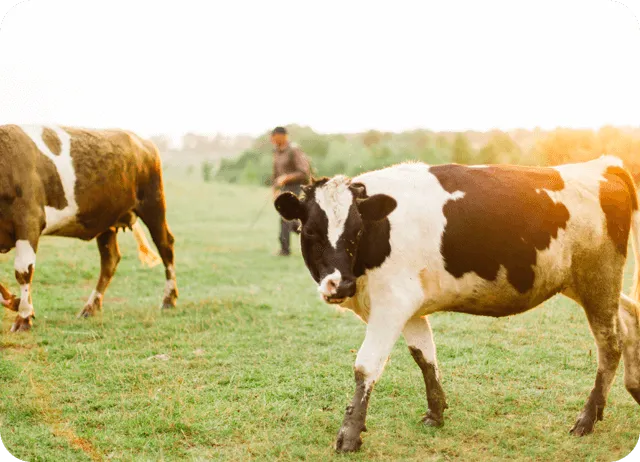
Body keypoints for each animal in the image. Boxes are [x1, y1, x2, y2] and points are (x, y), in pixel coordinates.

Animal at [0, 124, 179, 330]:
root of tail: (142, 141)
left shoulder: (29, 220)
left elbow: (23, 271)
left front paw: (23, 316)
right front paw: (14, 302)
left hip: (153, 204)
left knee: (165, 246)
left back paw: (169, 299)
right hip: (108, 221)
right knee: (110, 260)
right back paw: (91, 307)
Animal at [274, 157, 640, 452]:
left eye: (357, 230)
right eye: (309, 232)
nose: (341, 283)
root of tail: (604, 165)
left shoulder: (392, 304)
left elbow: (366, 367)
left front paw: (349, 435)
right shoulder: (410, 308)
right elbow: (425, 358)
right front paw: (436, 413)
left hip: (598, 280)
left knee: (610, 345)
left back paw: (587, 418)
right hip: (587, 285)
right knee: (630, 316)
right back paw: (634, 389)